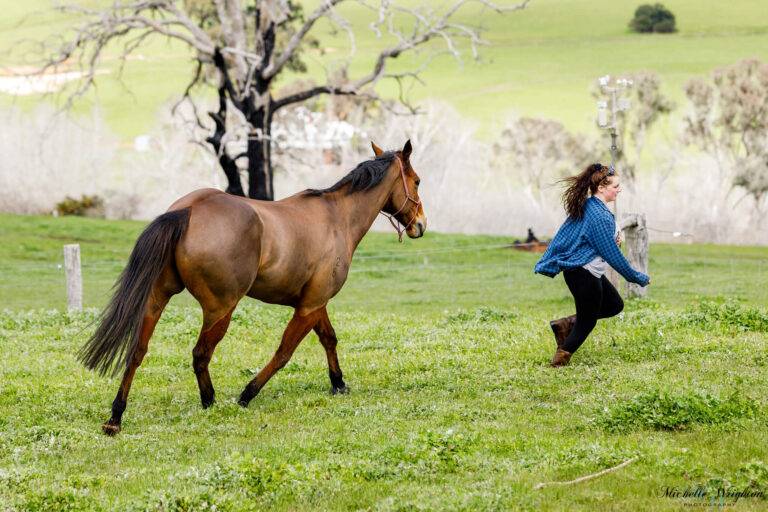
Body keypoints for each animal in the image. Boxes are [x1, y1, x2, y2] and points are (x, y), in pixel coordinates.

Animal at [79, 141, 426, 436]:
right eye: (418, 181)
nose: (421, 225)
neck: (336, 218)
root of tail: (188, 210)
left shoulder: (316, 303)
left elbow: (329, 339)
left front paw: (338, 383)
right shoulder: (310, 306)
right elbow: (284, 352)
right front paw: (248, 393)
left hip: (156, 298)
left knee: (137, 351)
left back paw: (116, 416)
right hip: (220, 309)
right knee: (200, 354)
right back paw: (210, 402)